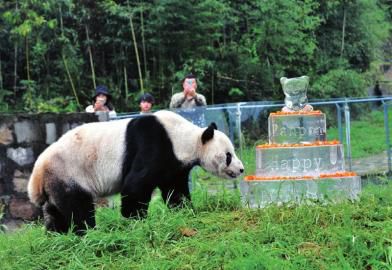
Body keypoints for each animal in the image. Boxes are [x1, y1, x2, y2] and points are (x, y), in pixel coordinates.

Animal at [27, 110, 243, 235]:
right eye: (228, 155)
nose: (241, 169)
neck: (186, 137)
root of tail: (37, 173)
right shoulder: (154, 143)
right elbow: (136, 183)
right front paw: (135, 218)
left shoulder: (174, 164)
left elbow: (175, 189)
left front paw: (185, 210)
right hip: (69, 172)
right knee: (77, 207)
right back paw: (88, 233)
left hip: (56, 180)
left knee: (57, 210)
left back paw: (56, 234)